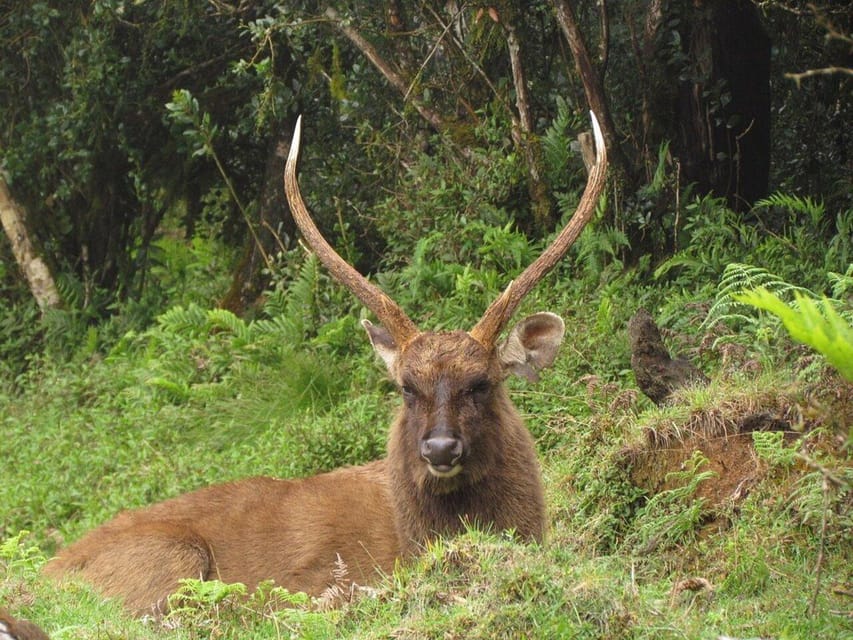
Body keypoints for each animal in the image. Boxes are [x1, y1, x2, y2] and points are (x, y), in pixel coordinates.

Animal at [45, 112, 604, 612]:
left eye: (482, 383)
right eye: (406, 387)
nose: (441, 448)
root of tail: (44, 575)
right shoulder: (317, 577)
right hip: (168, 558)